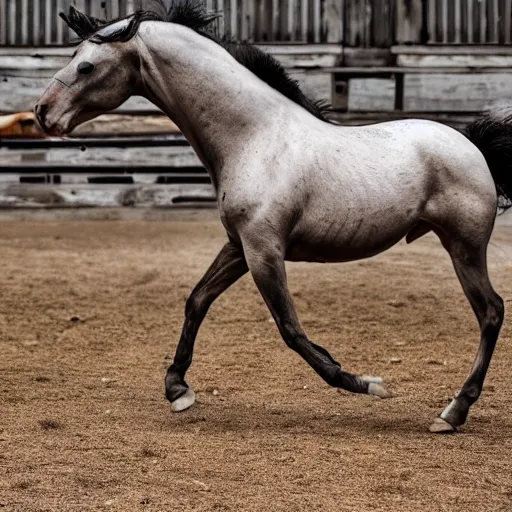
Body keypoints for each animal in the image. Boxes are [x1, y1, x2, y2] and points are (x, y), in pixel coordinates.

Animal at [34, 1, 510, 432]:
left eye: (86, 66)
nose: (41, 112)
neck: (253, 137)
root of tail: (474, 147)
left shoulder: (265, 250)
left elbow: (290, 329)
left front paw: (365, 382)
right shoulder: (239, 245)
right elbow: (197, 300)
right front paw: (177, 390)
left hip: (464, 246)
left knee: (491, 311)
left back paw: (453, 413)